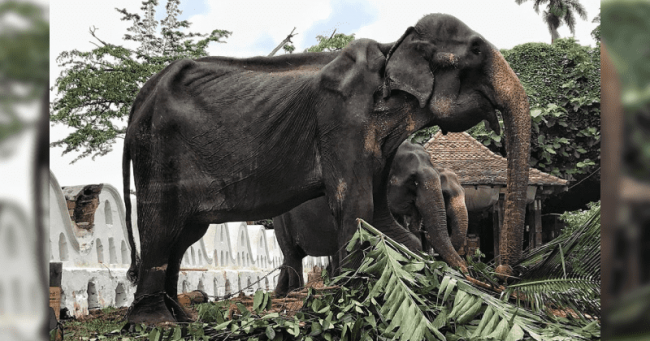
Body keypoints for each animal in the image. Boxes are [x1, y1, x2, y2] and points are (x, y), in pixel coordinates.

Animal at [270, 140, 468, 294]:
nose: (467, 272)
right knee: (292, 255)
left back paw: (281, 293)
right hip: (281, 220)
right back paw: (295, 292)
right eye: (413, 181)